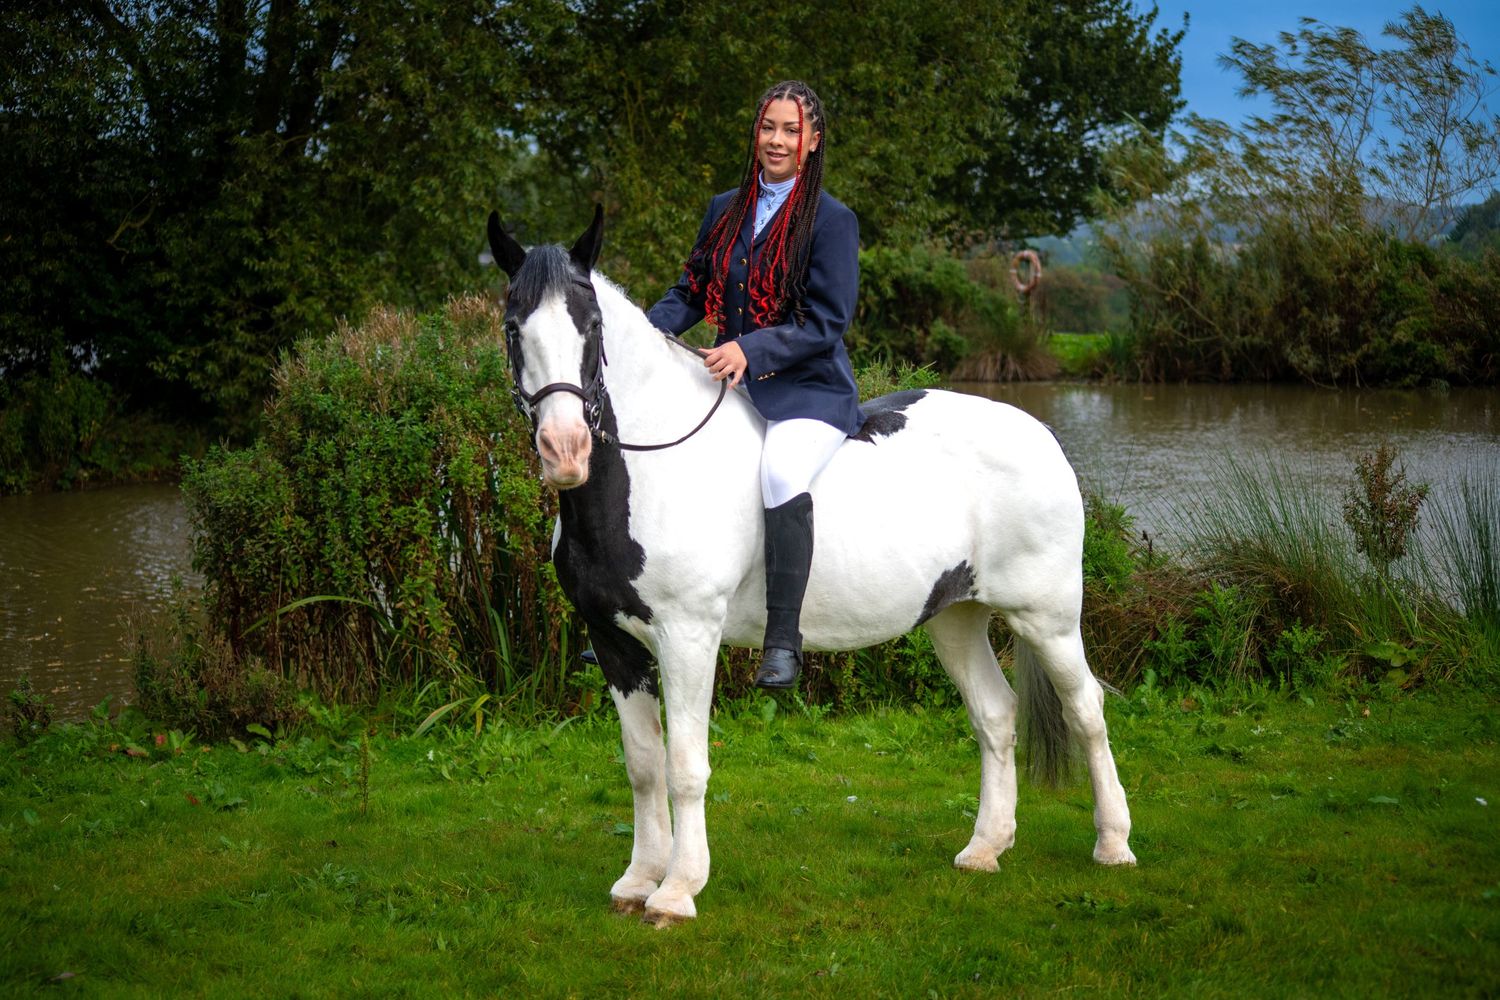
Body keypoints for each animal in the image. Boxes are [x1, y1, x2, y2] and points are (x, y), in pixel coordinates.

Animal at [486, 206, 1135, 927]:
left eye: (593, 327)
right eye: (513, 328)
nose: (565, 449)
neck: (646, 469)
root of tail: (1039, 432)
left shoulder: (687, 636)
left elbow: (685, 766)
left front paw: (678, 889)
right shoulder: (614, 641)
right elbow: (644, 764)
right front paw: (637, 881)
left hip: (1046, 617)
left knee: (1087, 711)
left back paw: (1113, 843)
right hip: (955, 617)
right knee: (995, 715)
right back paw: (984, 849)